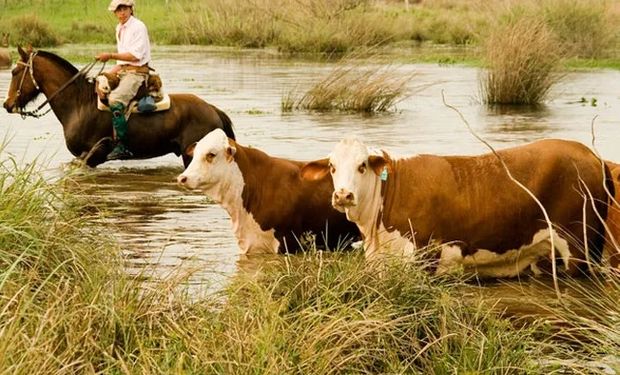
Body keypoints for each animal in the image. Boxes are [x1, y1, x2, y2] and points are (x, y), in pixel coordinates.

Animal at [302, 140, 612, 278]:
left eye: (362, 165)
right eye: (332, 167)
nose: (343, 195)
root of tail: (589, 153)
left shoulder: (424, 254)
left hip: (579, 247)